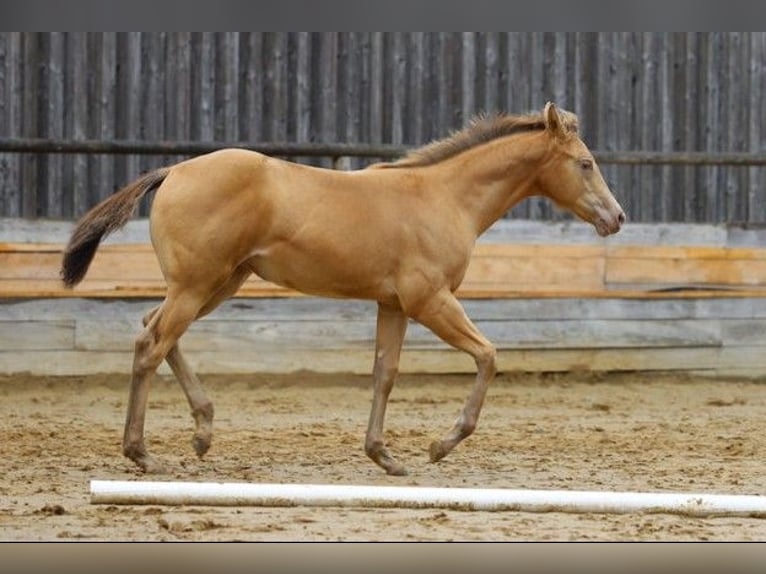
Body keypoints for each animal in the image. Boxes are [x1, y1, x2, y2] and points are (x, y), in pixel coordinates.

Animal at [61, 102, 625, 476]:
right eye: (585, 163)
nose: (617, 217)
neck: (443, 196)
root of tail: (173, 169)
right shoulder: (430, 300)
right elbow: (487, 355)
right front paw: (439, 446)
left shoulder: (393, 304)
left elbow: (384, 373)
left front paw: (384, 456)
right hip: (197, 285)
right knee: (150, 345)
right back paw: (143, 453)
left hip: (218, 283)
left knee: (154, 331)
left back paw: (202, 431)